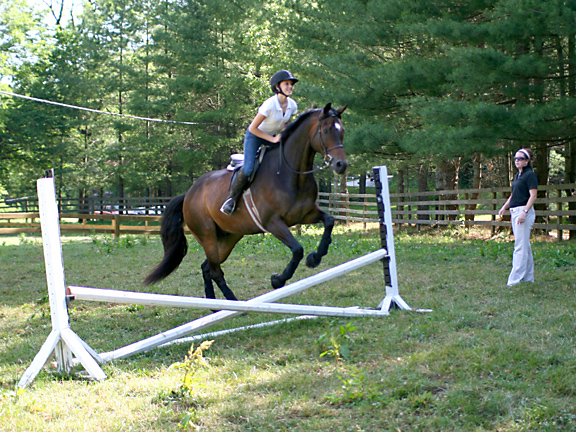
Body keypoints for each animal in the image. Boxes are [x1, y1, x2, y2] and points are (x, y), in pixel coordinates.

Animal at [144, 104, 348, 300]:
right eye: (327, 130)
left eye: (342, 131)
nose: (341, 165)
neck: (291, 175)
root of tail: (188, 194)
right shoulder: (273, 222)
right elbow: (297, 249)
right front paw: (278, 280)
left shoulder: (305, 215)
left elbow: (329, 221)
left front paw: (315, 257)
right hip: (207, 235)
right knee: (215, 270)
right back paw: (232, 304)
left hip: (229, 237)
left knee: (207, 267)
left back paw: (213, 304)